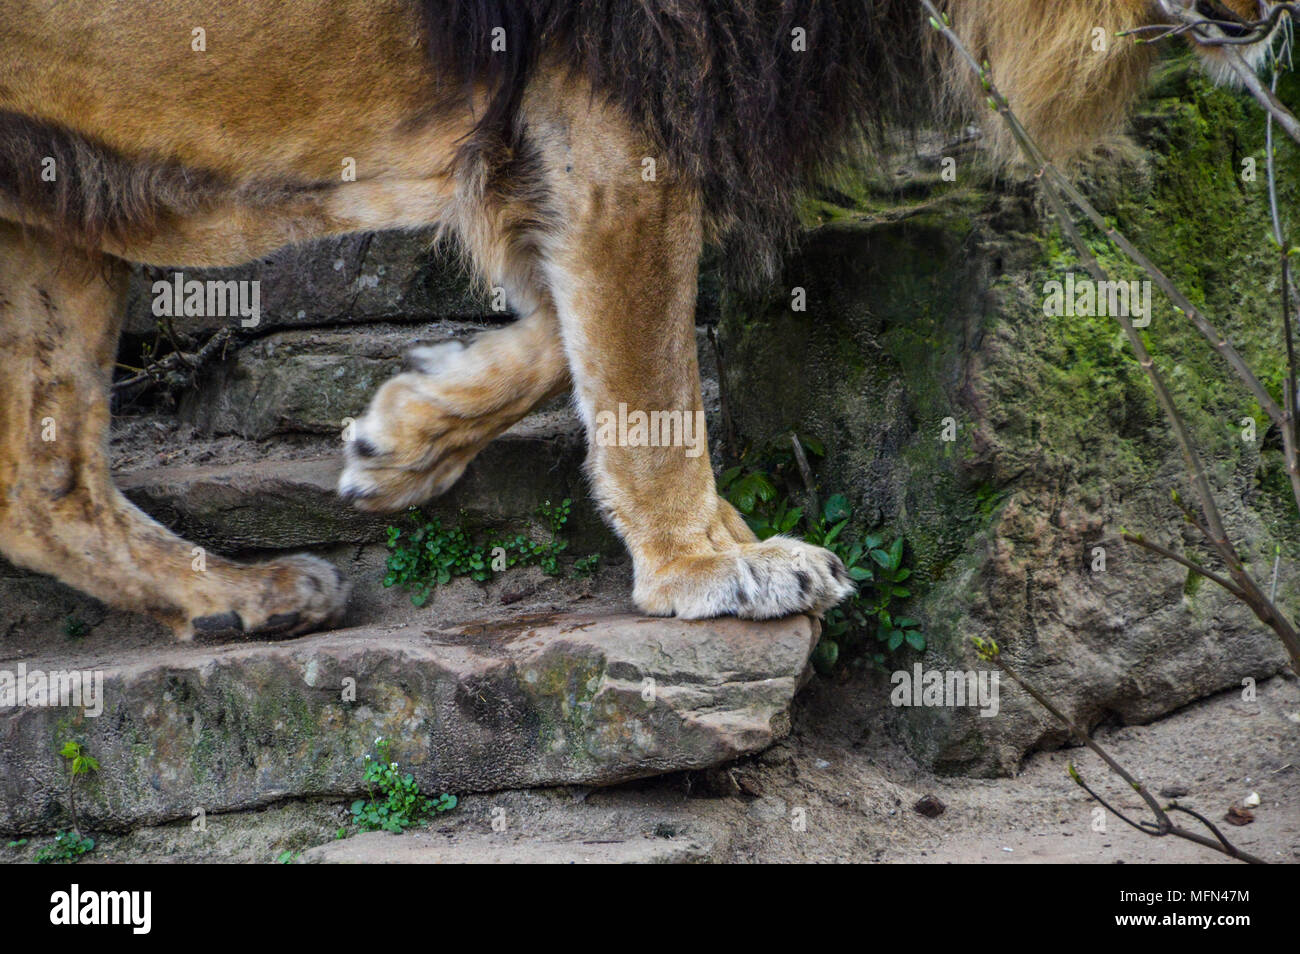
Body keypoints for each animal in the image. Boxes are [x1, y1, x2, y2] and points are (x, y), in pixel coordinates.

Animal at [0, 3, 1279, 642]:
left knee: (39, 488)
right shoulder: (624, 94)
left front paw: (400, 440)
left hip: (51, 199)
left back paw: (249, 598)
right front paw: (712, 565)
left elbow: (581, 329)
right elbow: (649, 356)